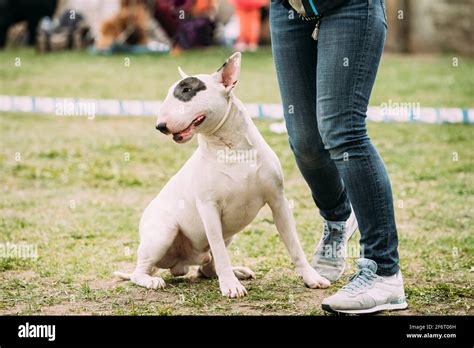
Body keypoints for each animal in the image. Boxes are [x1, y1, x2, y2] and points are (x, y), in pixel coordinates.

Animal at [115, 53, 330, 298]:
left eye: (187, 90)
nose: (160, 126)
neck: (231, 148)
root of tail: (183, 263)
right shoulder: (209, 207)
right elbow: (218, 247)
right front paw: (230, 286)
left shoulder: (278, 201)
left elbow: (294, 244)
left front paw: (312, 277)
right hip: (163, 231)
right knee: (140, 271)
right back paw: (151, 280)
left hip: (227, 235)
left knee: (208, 268)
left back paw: (237, 271)